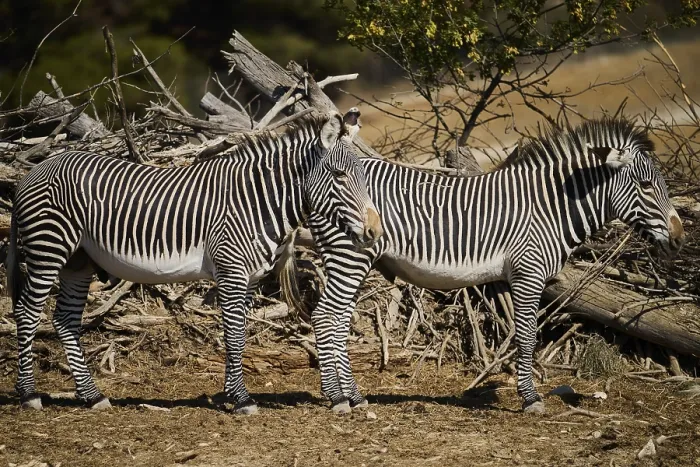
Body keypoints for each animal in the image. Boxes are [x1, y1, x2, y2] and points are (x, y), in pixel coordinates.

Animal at [7, 111, 383, 415]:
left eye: (364, 178)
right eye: (339, 175)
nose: (374, 232)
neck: (255, 200)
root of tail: (35, 169)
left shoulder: (247, 278)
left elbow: (238, 335)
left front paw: (232, 395)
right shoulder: (231, 272)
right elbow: (234, 335)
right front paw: (241, 399)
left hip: (78, 260)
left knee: (65, 320)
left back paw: (92, 396)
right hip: (48, 246)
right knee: (27, 312)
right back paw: (29, 395)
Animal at [281, 116, 685, 414]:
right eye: (646, 185)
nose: (680, 237)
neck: (551, 206)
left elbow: (522, 335)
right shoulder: (528, 272)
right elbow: (527, 335)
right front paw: (531, 399)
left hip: (349, 258)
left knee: (336, 318)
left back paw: (353, 395)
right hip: (349, 254)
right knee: (325, 316)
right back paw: (337, 398)